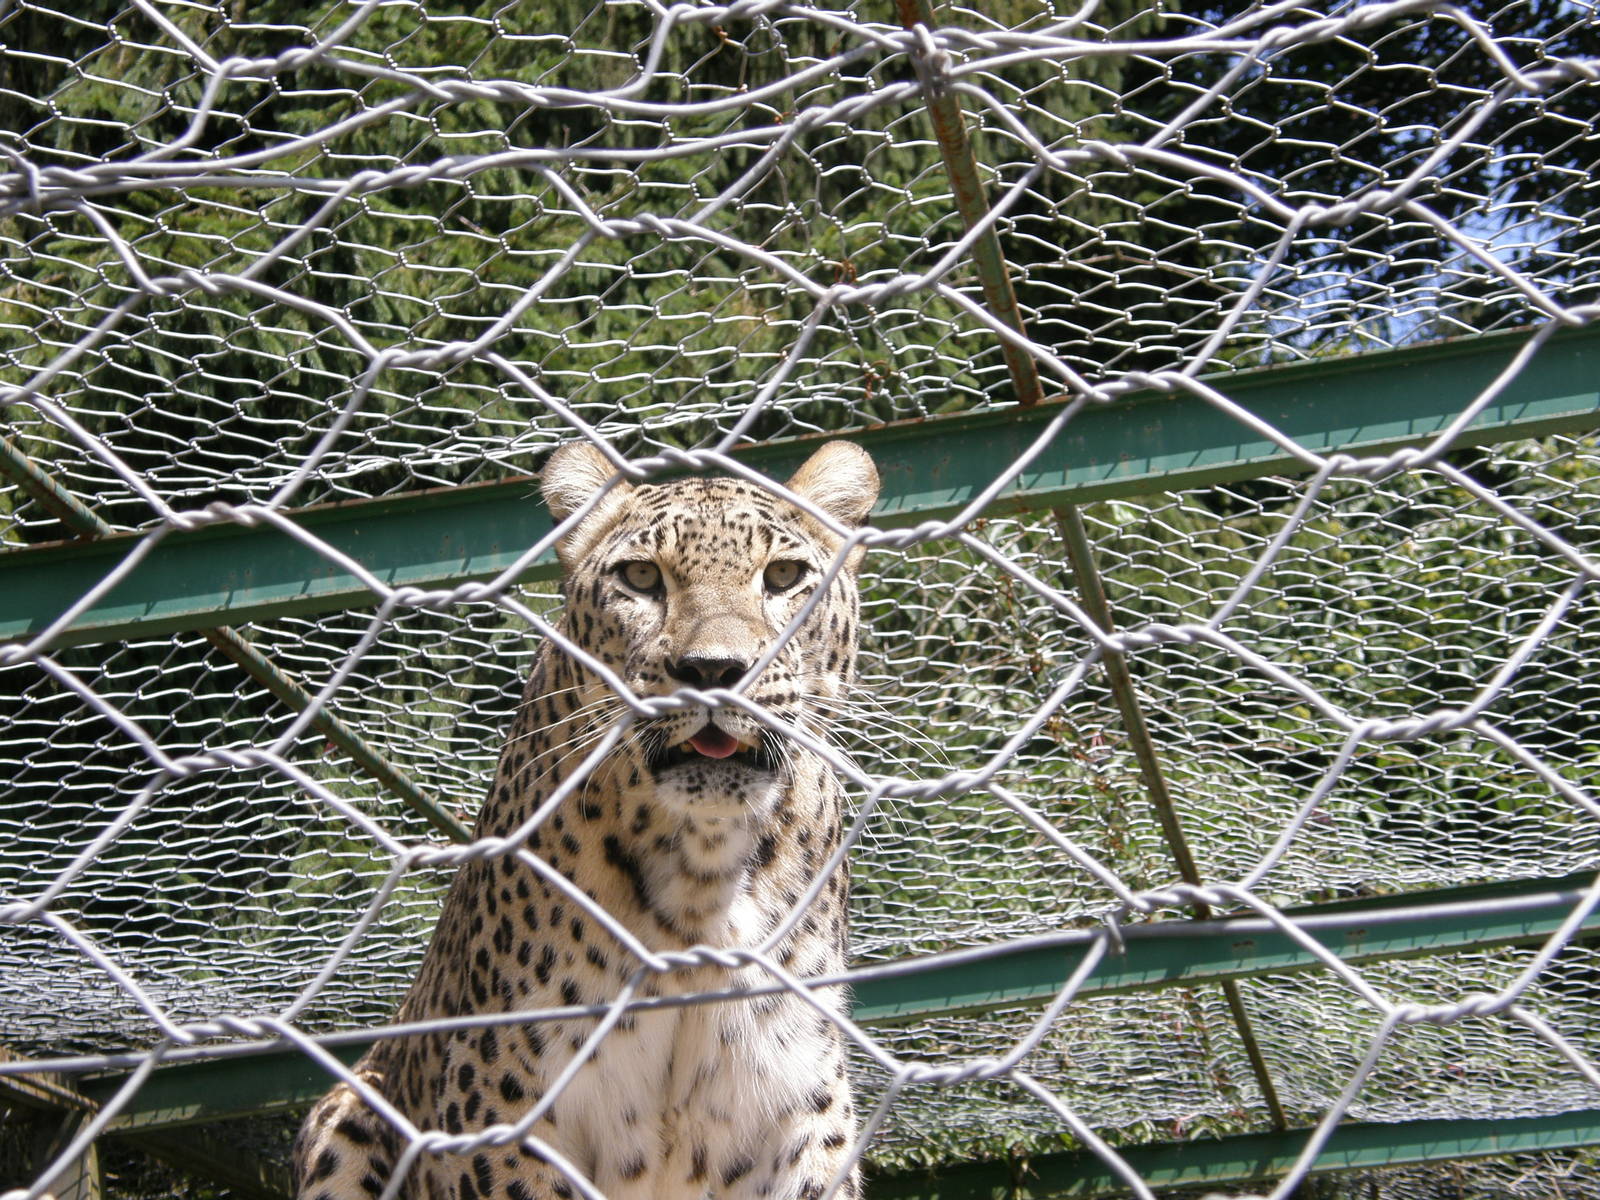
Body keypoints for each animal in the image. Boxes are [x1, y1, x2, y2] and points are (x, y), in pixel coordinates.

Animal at [292, 439, 880, 1200]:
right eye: (641, 576)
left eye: (783, 576)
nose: (714, 671)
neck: (704, 878)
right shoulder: (502, 1111)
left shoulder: (800, 1115)